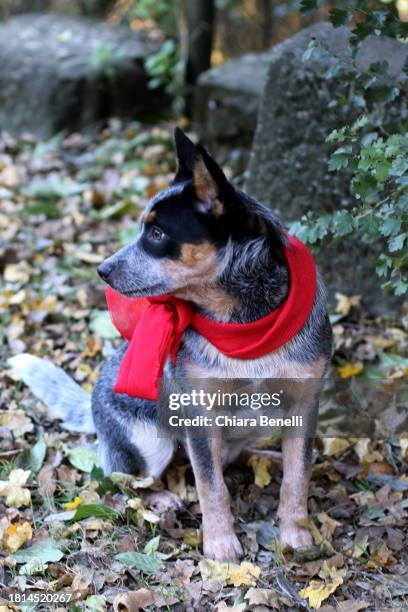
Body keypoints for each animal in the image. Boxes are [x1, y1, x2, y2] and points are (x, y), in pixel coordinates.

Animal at [9, 128, 332, 560]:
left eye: (157, 233)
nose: (102, 269)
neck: (246, 320)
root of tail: (92, 407)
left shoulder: (304, 401)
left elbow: (298, 476)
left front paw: (297, 533)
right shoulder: (198, 411)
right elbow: (211, 487)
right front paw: (220, 544)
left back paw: (266, 458)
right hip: (149, 442)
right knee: (120, 482)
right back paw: (160, 497)